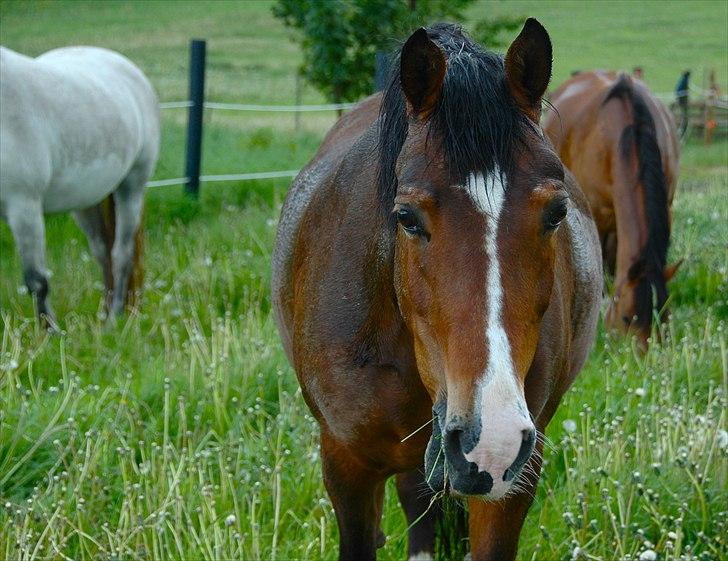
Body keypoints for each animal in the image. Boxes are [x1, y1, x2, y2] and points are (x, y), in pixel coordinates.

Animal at [0, 45, 160, 327]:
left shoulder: (23, 205)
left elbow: (36, 281)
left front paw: (51, 333)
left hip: (131, 187)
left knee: (121, 255)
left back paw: (114, 319)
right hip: (87, 203)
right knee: (103, 254)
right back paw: (105, 315)